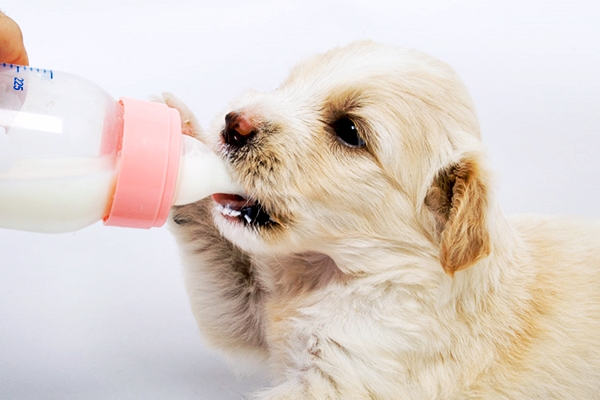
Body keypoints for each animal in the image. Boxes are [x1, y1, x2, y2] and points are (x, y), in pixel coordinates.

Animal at [168, 41, 600, 400]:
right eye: (289, 84)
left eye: (348, 130)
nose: (232, 124)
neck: (335, 272)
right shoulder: (253, 315)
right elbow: (226, 279)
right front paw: (184, 141)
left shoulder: (349, 376)